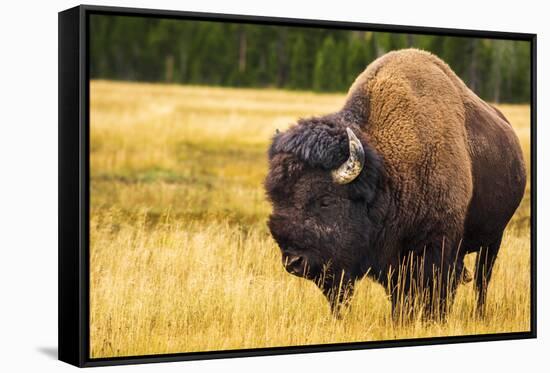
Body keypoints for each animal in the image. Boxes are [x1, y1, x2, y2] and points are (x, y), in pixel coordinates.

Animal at [266, 48, 528, 318]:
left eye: (325, 200)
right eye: (276, 199)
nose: (293, 262)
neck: (387, 172)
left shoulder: (437, 246)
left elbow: (436, 289)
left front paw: (432, 319)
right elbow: (400, 294)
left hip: (494, 238)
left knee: (481, 280)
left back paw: (478, 313)